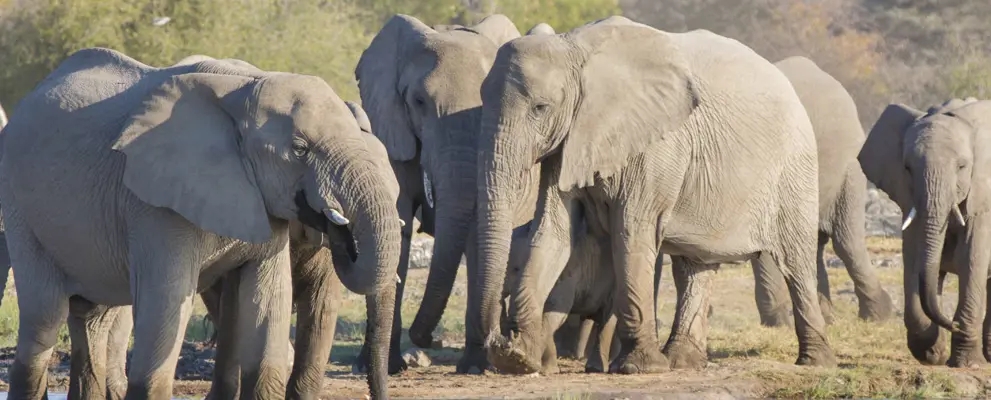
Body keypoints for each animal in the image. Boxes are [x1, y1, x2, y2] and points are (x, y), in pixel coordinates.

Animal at [0, 47, 404, 400]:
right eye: (300, 149)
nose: (337, 224)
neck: (245, 88)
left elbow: (266, 299)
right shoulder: (156, 203)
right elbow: (167, 302)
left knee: (92, 319)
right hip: (21, 211)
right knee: (45, 316)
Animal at [354, 13, 544, 376]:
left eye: (490, 107)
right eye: (418, 102)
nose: (432, 340)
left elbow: (476, 233)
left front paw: (475, 367)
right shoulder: (392, 129)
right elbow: (396, 222)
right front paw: (382, 367)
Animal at [480, 15, 836, 374]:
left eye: (541, 108)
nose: (496, 339)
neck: (575, 49)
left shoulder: (657, 146)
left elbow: (631, 231)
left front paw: (640, 367)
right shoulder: (568, 142)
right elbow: (551, 230)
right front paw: (517, 357)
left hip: (795, 170)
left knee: (796, 261)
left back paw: (815, 363)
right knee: (694, 266)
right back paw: (683, 362)